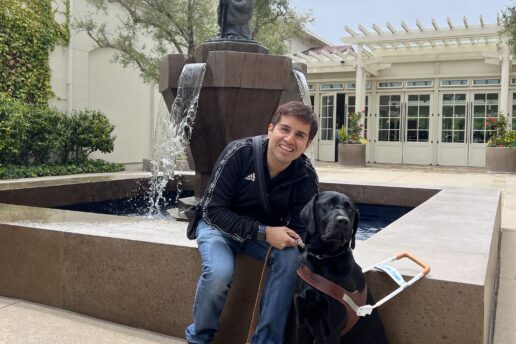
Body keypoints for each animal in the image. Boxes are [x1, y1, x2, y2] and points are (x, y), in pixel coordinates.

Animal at [294, 191, 388, 344]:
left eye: (350, 209)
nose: (343, 221)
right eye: (327, 204)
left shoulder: (331, 329)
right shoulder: (301, 321)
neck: (323, 259)